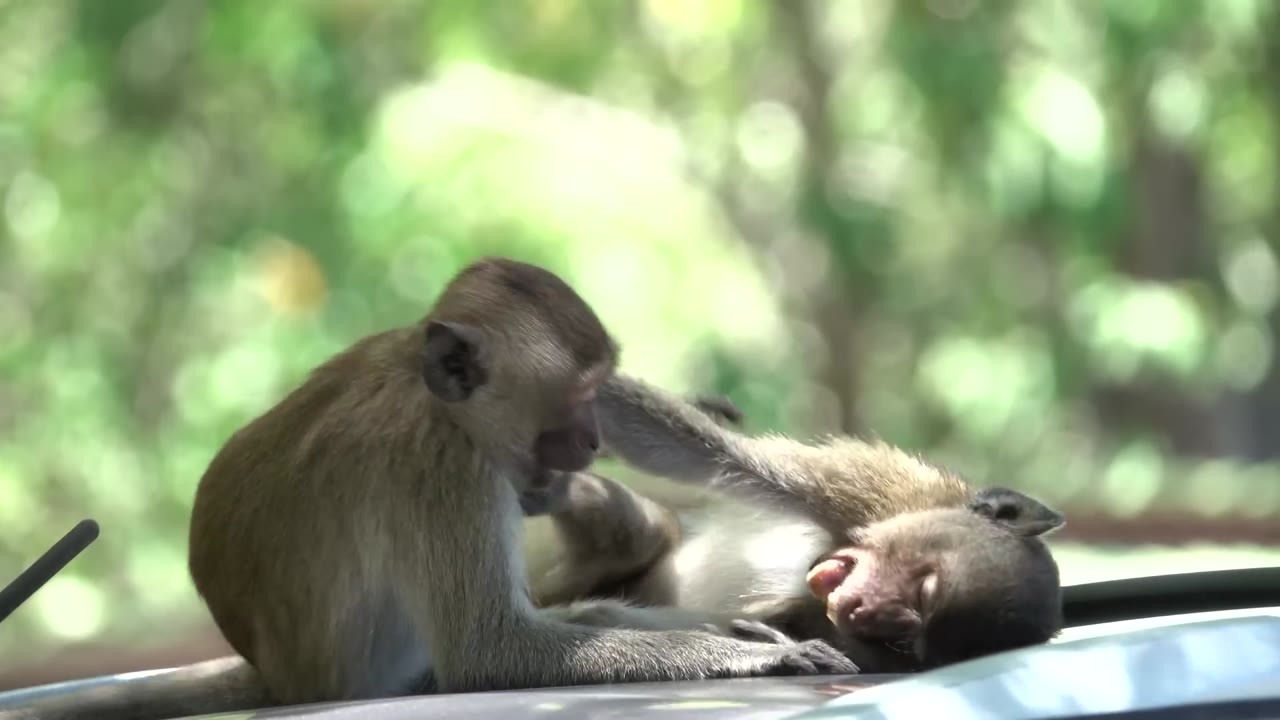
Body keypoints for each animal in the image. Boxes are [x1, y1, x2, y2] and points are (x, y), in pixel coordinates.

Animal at [522, 375, 1065, 673]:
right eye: (923, 587)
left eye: (908, 630)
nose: (861, 610)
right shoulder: (870, 488)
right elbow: (697, 450)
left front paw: (775, 646)